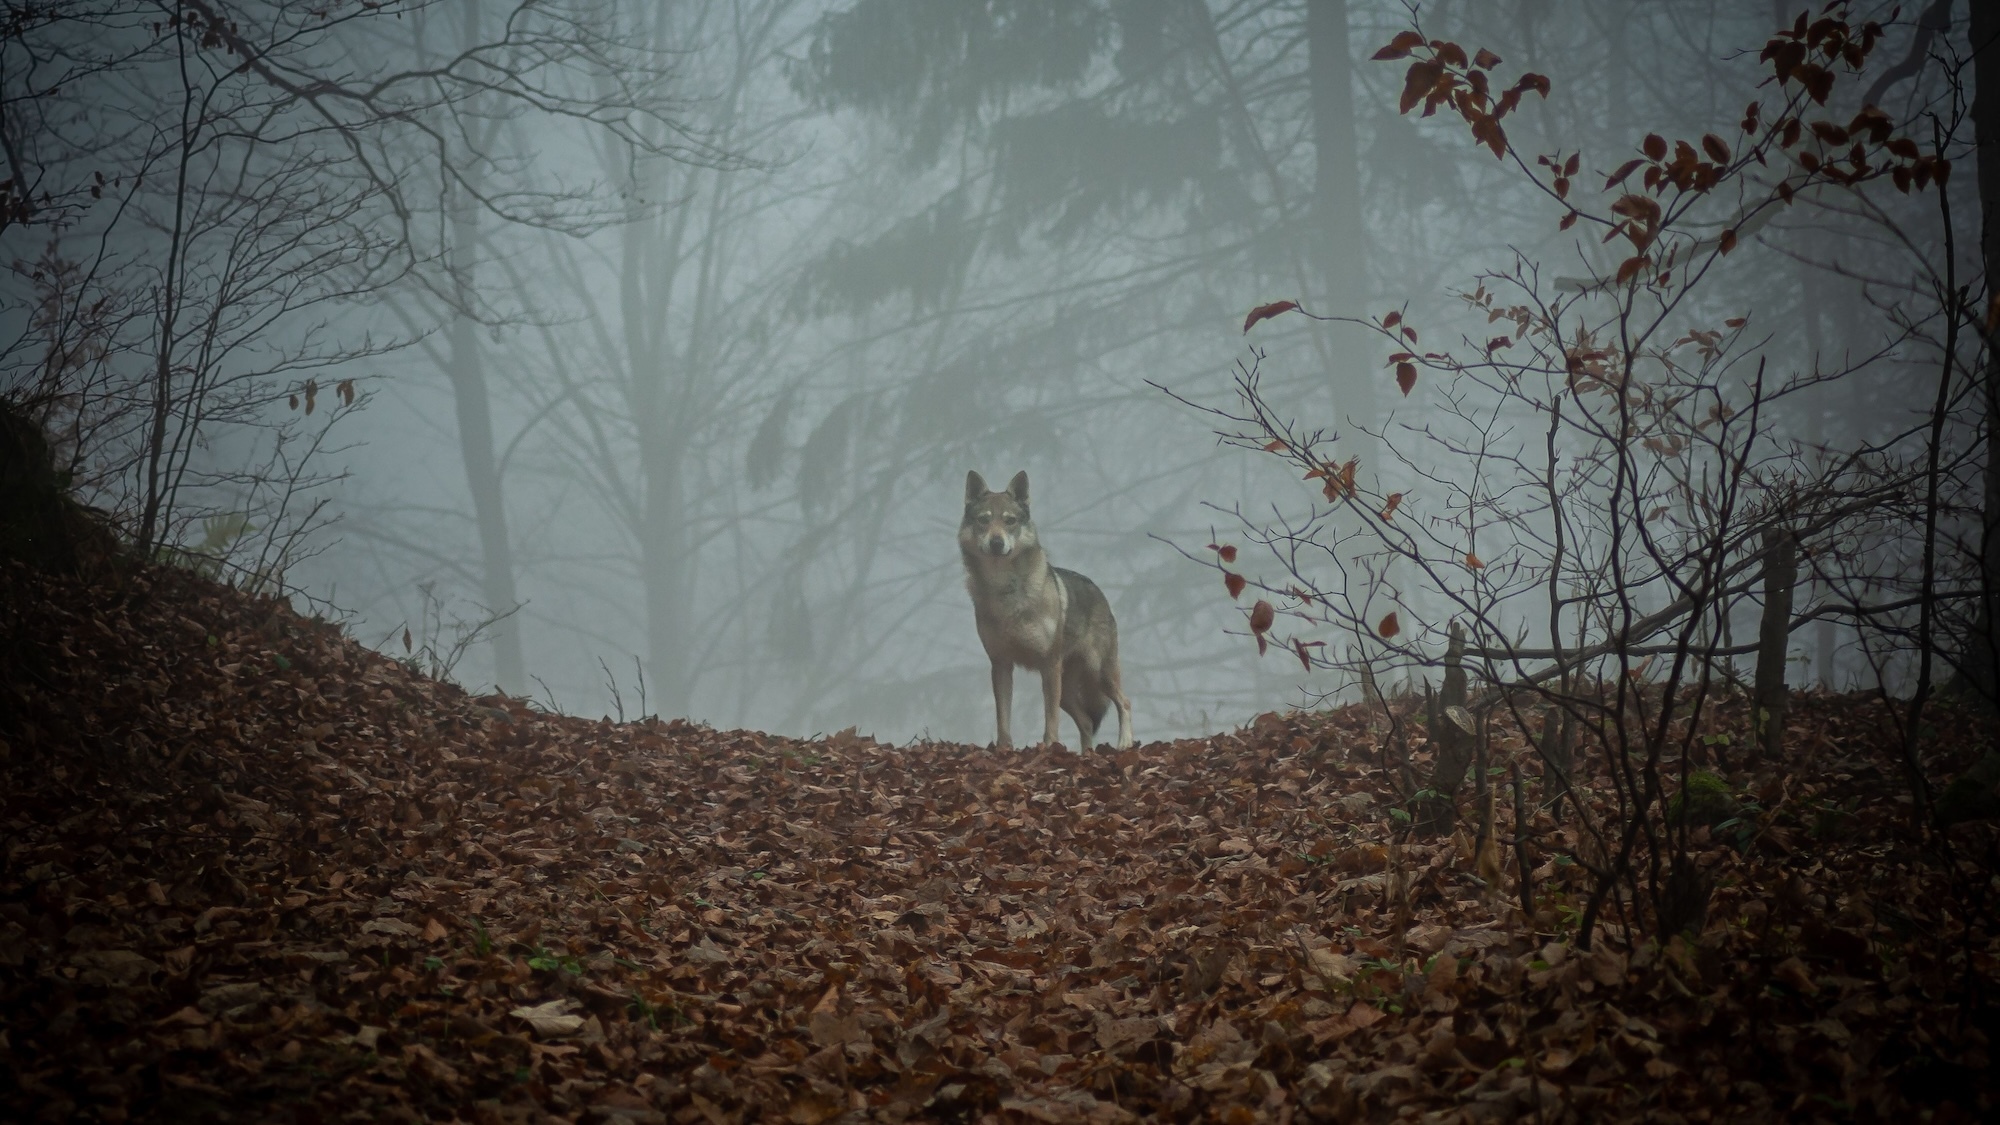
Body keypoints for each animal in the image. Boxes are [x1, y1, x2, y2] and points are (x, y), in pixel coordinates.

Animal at [960, 470, 1133, 750]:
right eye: (983, 520)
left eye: (1010, 521)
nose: (996, 543)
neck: (1006, 590)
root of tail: (1099, 591)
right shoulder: (1000, 664)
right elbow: (1003, 717)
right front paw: (1005, 750)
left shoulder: (1049, 665)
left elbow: (1049, 718)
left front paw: (1050, 747)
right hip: (1069, 691)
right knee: (1087, 722)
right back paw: (1086, 754)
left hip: (1097, 673)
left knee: (1124, 702)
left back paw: (1125, 743)